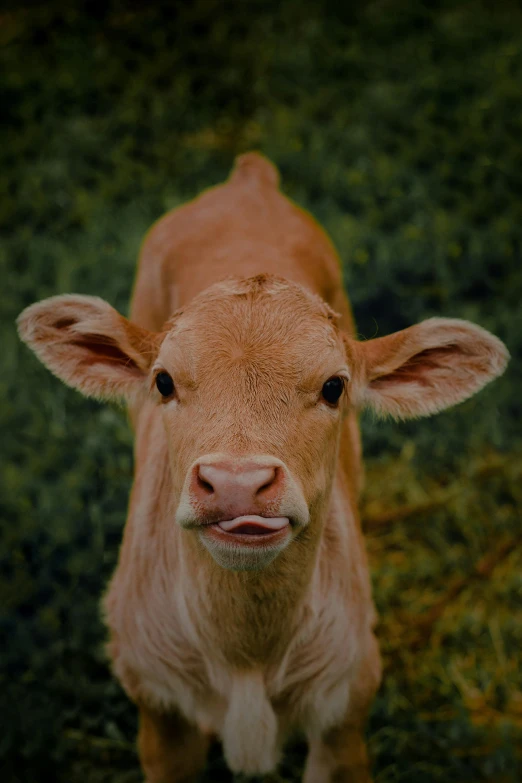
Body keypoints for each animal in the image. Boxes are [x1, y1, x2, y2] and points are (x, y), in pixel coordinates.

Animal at [18, 153, 506, 783]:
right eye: (163, 381)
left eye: (334, 387)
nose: (236, 484)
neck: (245, 658)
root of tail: (247, 177)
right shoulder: (157, 709)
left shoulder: (346, 712)